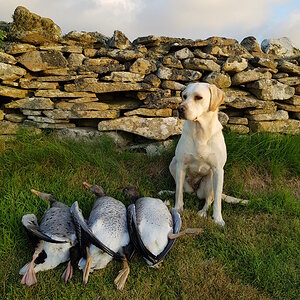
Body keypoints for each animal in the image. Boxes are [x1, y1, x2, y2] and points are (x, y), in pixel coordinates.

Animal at [170, 82, 226, 225]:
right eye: (184, 96)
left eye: (198, 97)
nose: (180, 109)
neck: (200, 132)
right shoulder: (181, 165)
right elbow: (178, 193)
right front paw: (177, 209)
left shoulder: (218, 170)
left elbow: (217, 200)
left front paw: (218, 218)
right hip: (173, 164)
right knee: (182, 190)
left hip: (209, 181)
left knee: (209, 199)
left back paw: (203, 212)